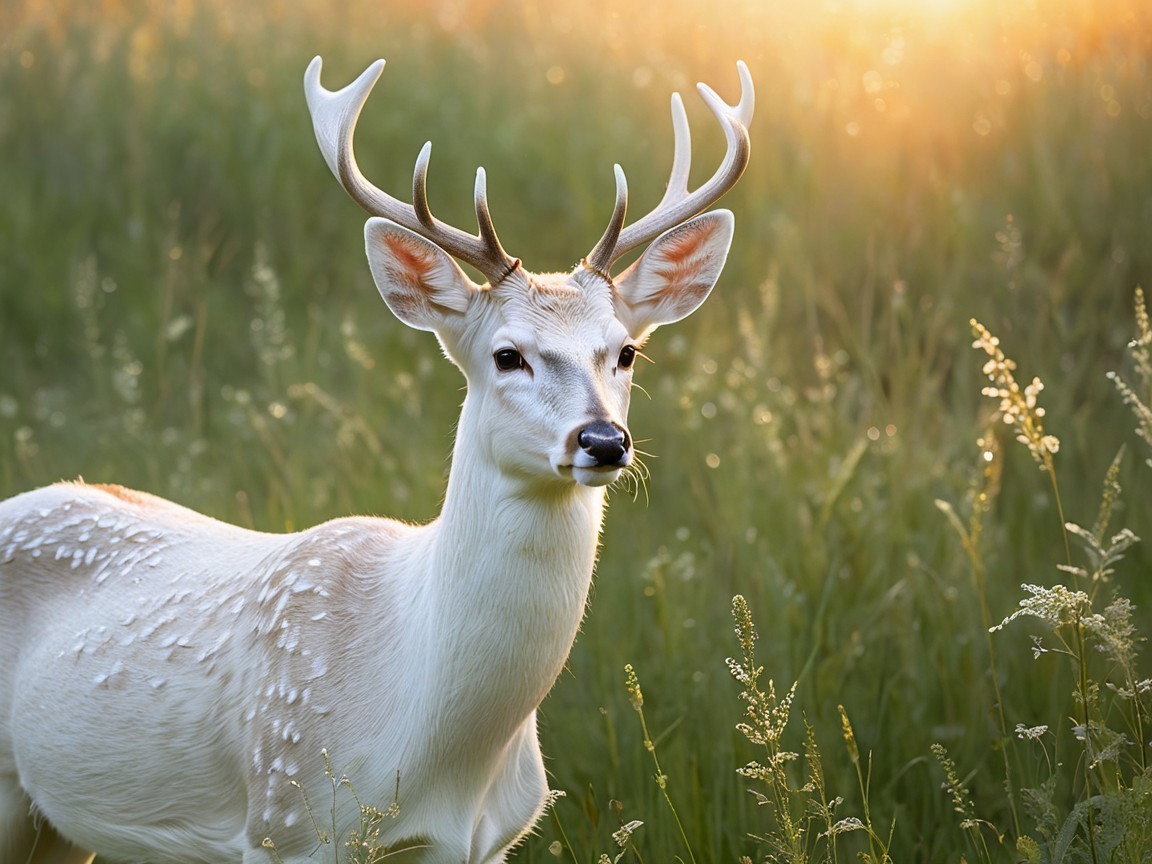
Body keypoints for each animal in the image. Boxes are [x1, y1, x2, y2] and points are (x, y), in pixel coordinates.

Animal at [0, 54, 752, 864]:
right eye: (507, 355)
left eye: (626, 351)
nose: (604, 440)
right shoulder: (287, 815)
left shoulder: (493, 838)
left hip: (57, 824)